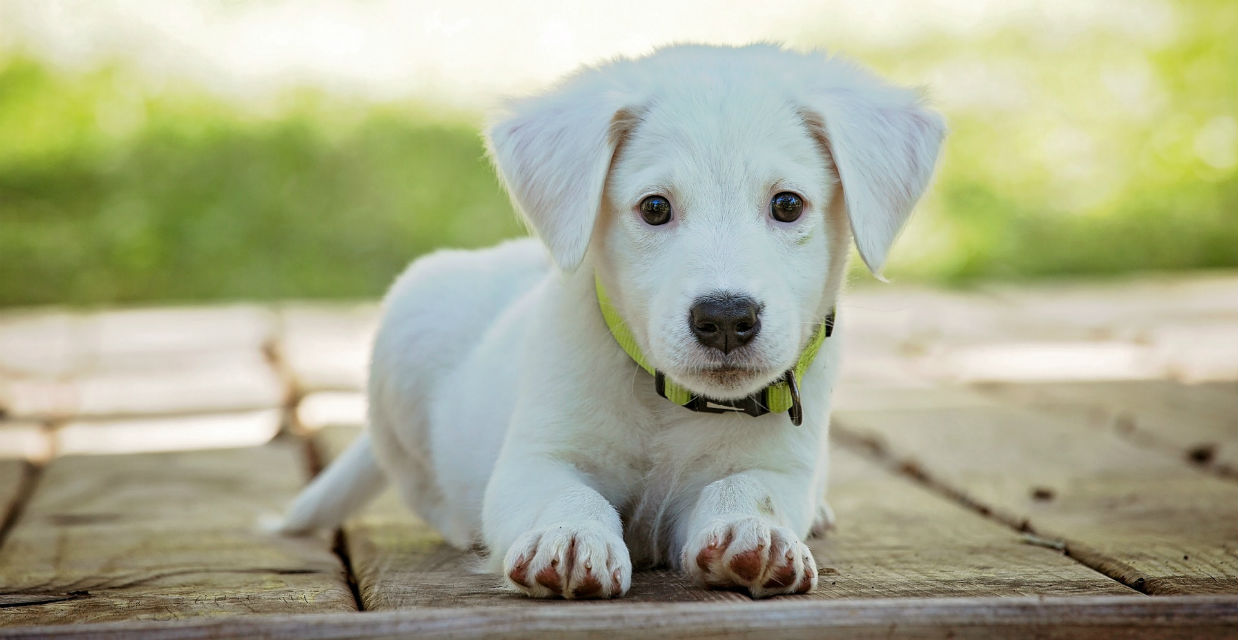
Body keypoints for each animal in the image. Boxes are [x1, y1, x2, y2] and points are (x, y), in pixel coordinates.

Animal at [281, 44, 940, 599]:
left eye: (787, 204)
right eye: (655, 208)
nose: (726, 319)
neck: (669, 404)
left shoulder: (779, 466)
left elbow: (748, 488)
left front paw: (756, 533)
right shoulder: (536, 458)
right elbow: (565, 494)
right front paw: (570, 537)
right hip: (408, 332)